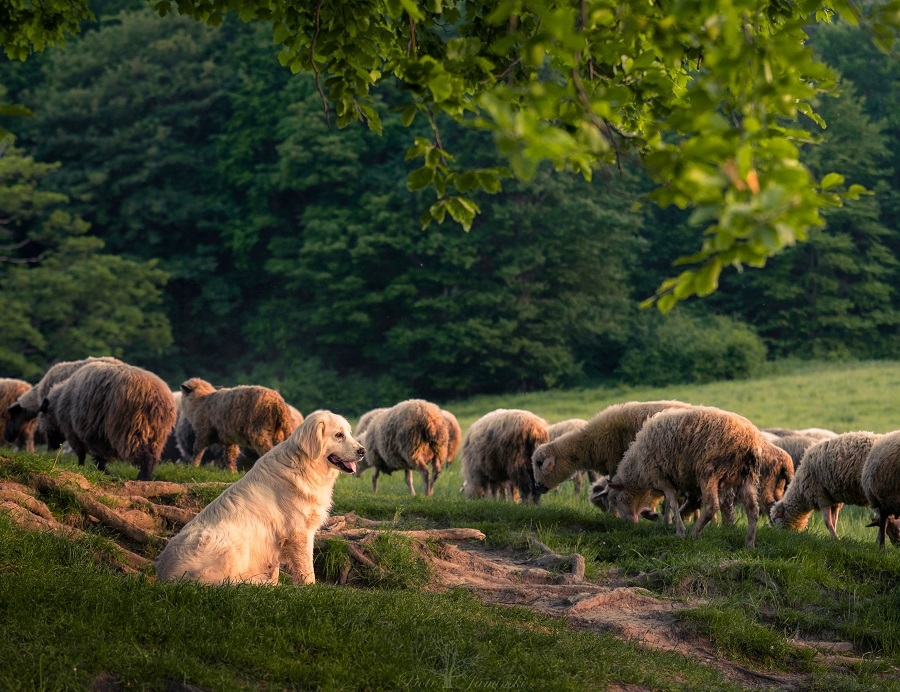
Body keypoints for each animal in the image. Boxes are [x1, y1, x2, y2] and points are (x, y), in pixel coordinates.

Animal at [39, 362, 177, 482]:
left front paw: (84, 468)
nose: (51, 449)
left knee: (144, 455)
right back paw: (146, 476)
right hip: (156, 434)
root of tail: (156, 397)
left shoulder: (76, 431)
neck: (58, 403)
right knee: (152, 456)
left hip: (131, 428)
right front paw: (102, 471)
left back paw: (142, 478)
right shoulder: (97, 432)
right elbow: (97, 455)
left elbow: (84, 454)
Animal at [600, 406, 768, 548]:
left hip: (709, 472)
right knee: (753, 509)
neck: (637, 465)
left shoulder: (660, 476)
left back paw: (694, 534)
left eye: (615, 498)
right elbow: (668, 504)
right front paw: (666, 523)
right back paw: (749, 544)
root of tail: (749, 439)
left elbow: (672, 503)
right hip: (748, 476)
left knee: (711, 506)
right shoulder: (667, 478)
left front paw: (679, 531)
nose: (628, 523)